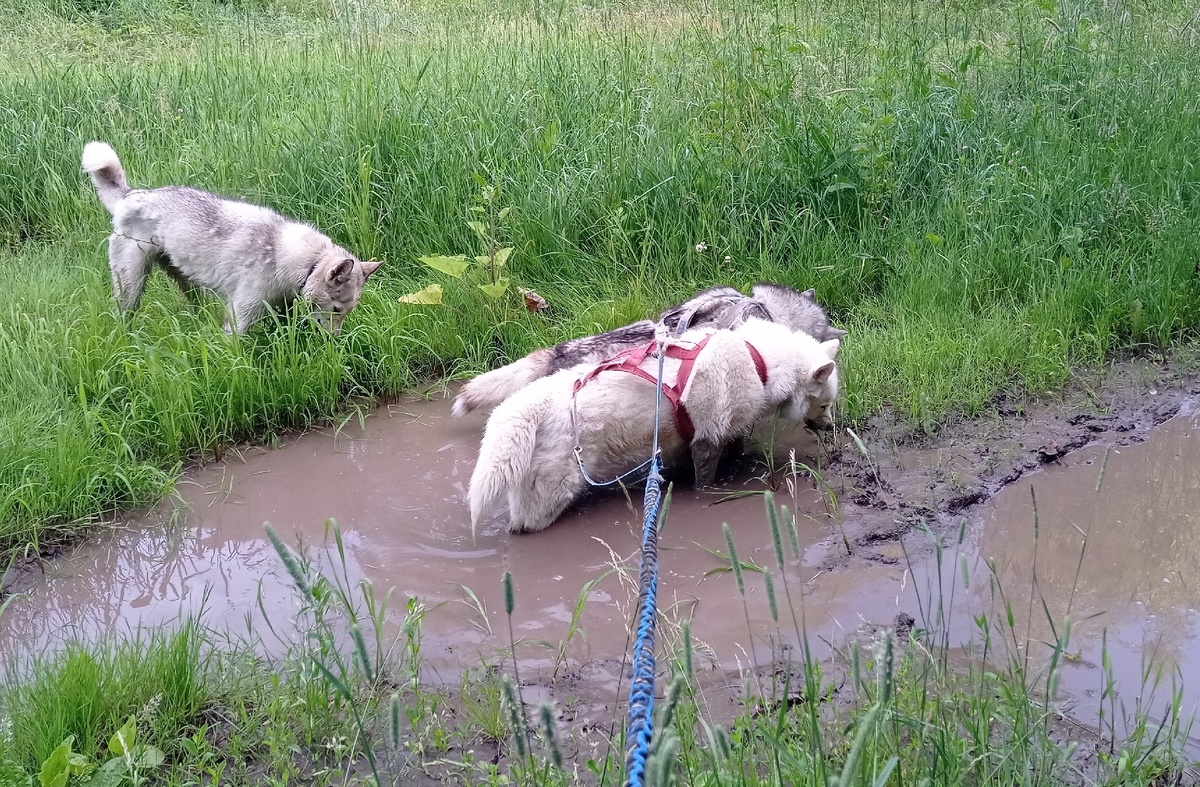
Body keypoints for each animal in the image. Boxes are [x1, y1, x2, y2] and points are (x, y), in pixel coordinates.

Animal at [81, 139, 379, 333]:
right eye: (336, 310)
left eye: (346, 313)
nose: (334, 340)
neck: (305, 263)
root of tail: (129, 195)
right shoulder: (240, 317)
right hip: (131, 289)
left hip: (188, 284)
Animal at [463, 319, 840, 535]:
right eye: (824, 404)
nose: (831, 427)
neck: (756, 357)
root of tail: (525, 405)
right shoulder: (708, 438)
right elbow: (707, 478)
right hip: (550, 495)